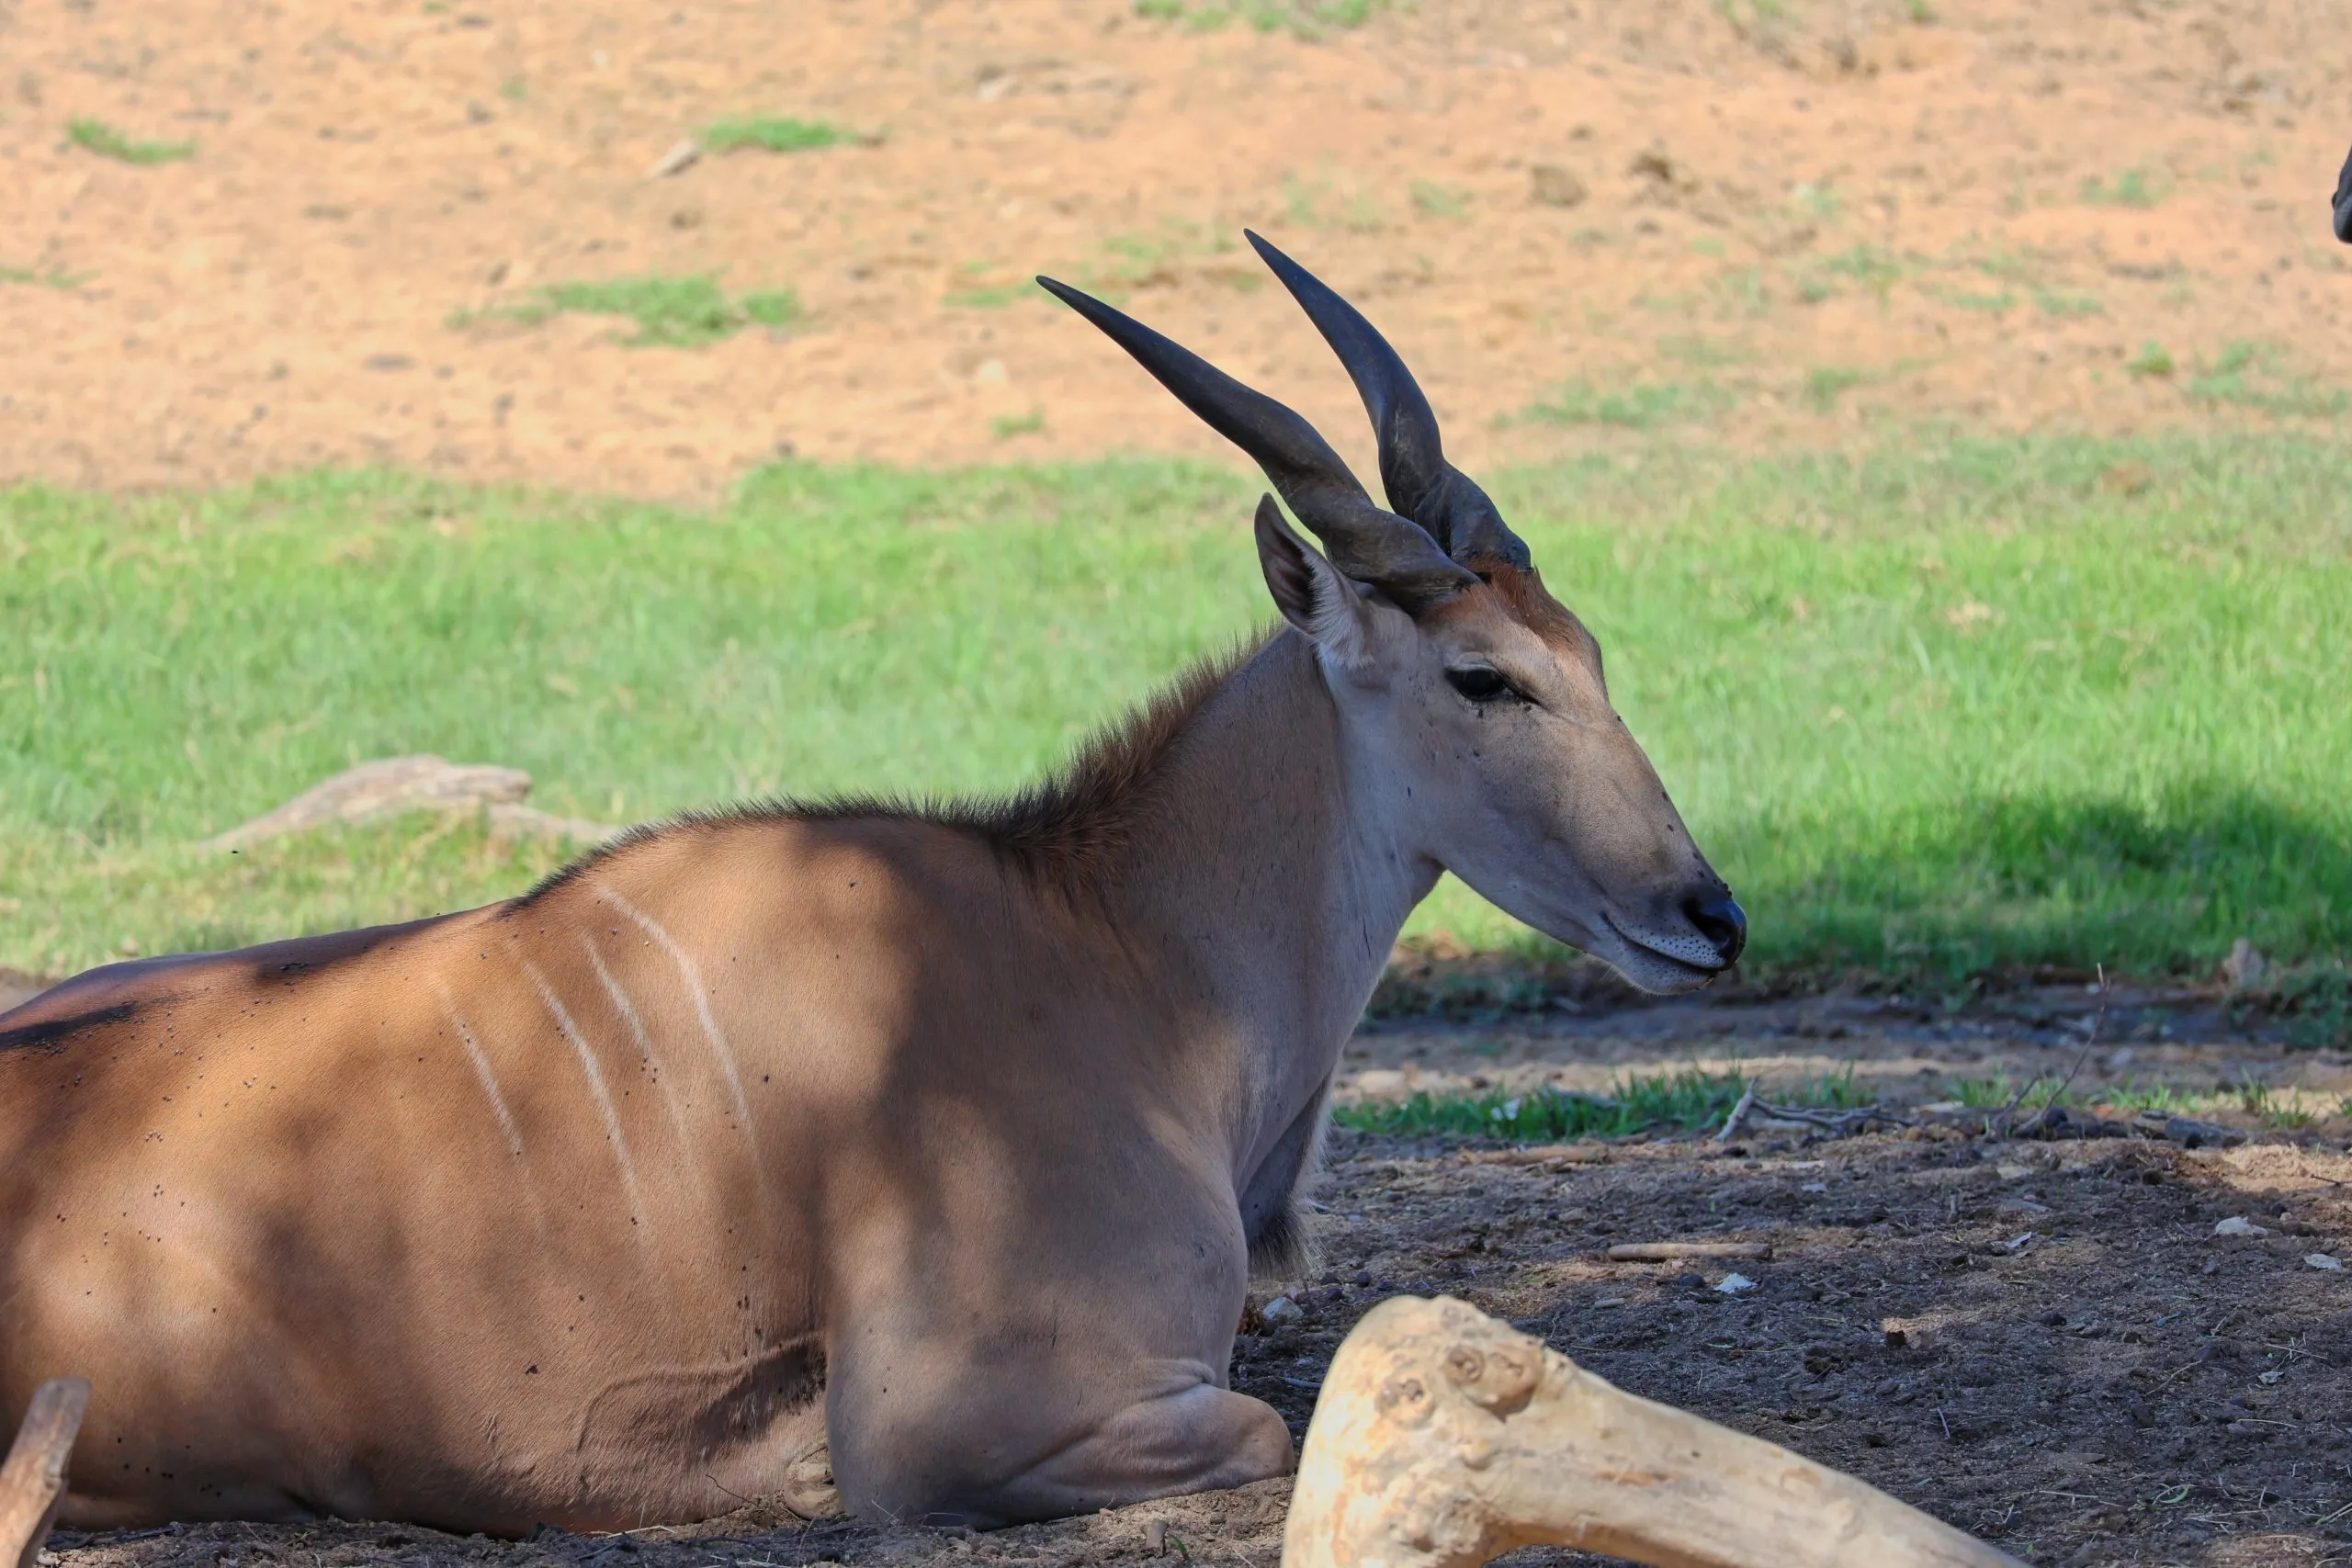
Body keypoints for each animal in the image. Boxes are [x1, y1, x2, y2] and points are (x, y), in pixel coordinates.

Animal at [0, 234, 1744, 1536]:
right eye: (1484, 676)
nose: (1709, 912)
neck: (1117, 953)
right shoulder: (975, 1418)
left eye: (1590, 651)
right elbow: (1267, 1422)